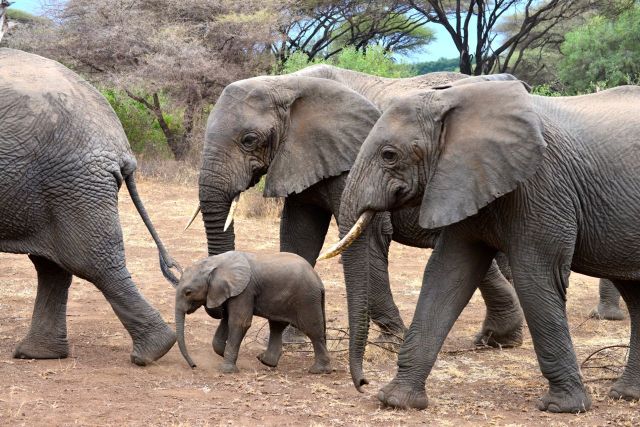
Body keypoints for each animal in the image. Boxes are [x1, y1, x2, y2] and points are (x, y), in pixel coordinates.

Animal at [0, 48, 180, 365]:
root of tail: (121, 145)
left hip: (73, 182)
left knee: (90, 262)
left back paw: (152, 352)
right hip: (56, 188)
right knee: (52, 265)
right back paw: (37, 354)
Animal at [175, 251, 331, 374]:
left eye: (188, 292)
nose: (194, 366)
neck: (215, 262)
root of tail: (319, 282)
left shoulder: (245, 291)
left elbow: (239, 322)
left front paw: (226, 370)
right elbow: (226, 320)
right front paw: (225, 352)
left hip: (306, 299)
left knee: (312, 330)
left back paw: (318, 371)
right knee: (276, 326)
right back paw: (266, 362)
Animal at [330, 79, 640, 412]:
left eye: (389, 155)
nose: (363, 383)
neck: (454, 100)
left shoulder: (542, 186)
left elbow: (535, 277)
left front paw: (563, 407)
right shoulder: (464, 180)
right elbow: (447, 274)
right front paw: (396, 400)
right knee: (635, 294)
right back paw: (627, 394)